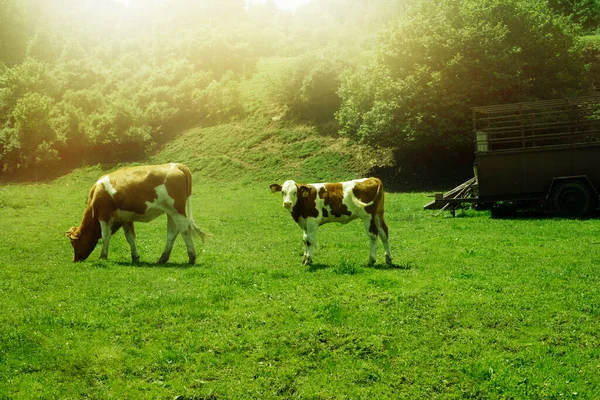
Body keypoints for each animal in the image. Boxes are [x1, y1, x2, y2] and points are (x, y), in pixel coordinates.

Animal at [67, 161, 209, 264]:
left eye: (73, 243)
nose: (75, 260)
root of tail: (178, 165)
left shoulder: (104, 216)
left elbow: (105, 236)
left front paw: (103, 256)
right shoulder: (125, 218)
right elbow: (130, 237)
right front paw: (135, 256)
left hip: (177, 210)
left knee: (185, 229)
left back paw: (191, 257)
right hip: (171, 212)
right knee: (172, 233)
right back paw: (163, 258)